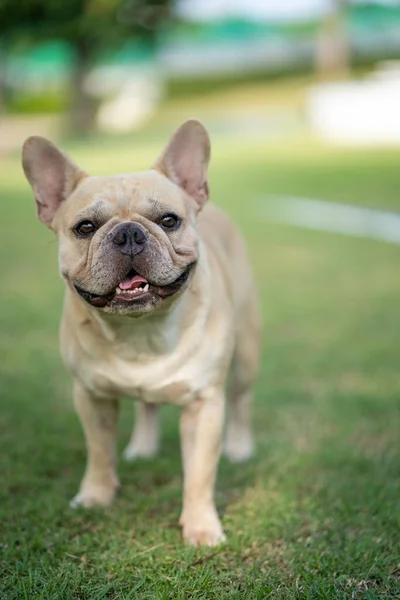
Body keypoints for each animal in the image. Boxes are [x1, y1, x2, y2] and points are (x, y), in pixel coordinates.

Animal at [21, 119, 260, 548]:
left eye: (169, 221)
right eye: (85, 228)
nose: (129, 233)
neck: (140, 331)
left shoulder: (204, 405)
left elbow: (200, 474)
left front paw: (201, 527)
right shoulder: (91, 396)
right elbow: (99, 453)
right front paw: (96, 496)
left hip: (247, 353)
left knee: (242, 400)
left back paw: (239, 446)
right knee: (146, 405)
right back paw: (143, 447)